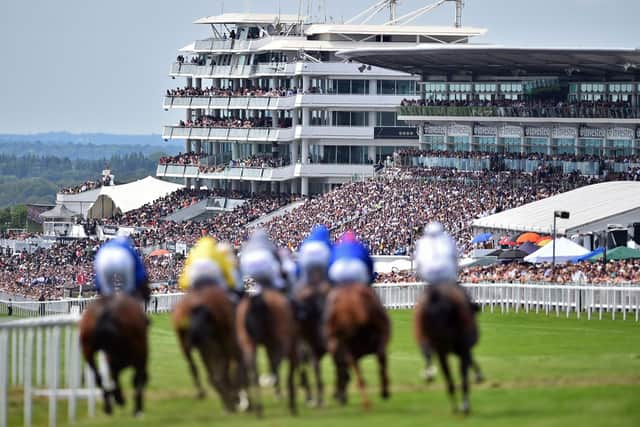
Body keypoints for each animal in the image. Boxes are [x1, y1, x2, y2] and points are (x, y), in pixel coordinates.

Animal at [235, 290, 300, 418]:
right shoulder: (292, 350)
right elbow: (288, 375)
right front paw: (292, 406)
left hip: (248, 343)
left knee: (253, 370)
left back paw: (258, 408)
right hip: (283, 343)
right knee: (276, 365)